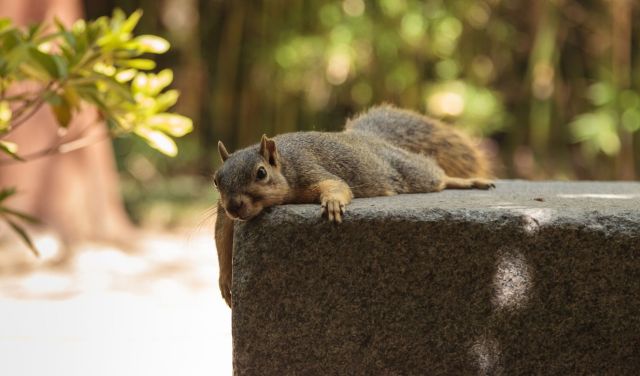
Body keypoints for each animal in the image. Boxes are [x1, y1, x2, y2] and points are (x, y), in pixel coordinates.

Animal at [212, 104, 492, 306]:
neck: (285, 164)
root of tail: (367, 138)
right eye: (216, 180)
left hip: (411, 171)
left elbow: (337, 185)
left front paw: (333, 203)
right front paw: (225, 280)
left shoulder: (309, 170)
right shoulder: (223, 214)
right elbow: (221, 237)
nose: (234, 205)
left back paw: (466, 181)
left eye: (261, 173)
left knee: (435, 176)